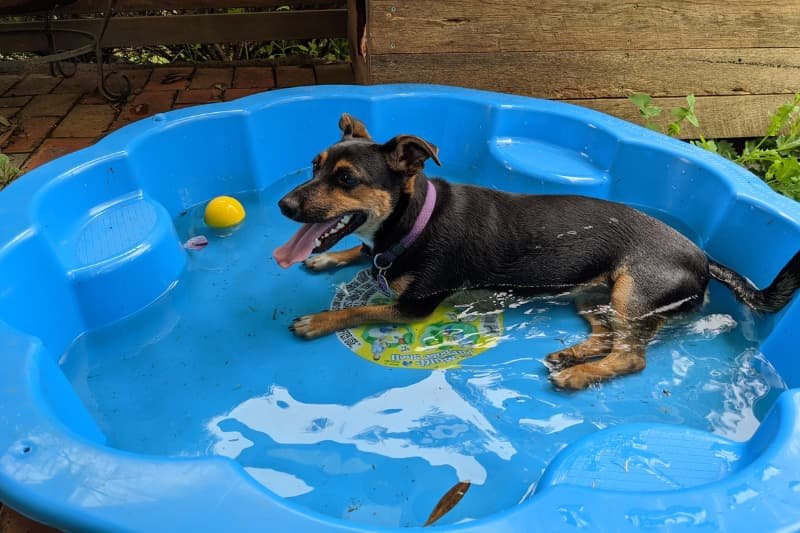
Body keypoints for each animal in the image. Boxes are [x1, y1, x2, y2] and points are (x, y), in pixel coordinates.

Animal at [276, 113, 800, 386]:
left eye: (346, 180)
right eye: (314, 166)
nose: (283, 204)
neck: (414, 221)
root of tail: (704, 258)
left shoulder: (414, 309)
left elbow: (359, 311)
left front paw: (317, 320)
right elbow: (362, 255)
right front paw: (330, 257)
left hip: (633, 291)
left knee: (632, 356)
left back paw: (579, 375)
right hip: (594, 295)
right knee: (608, 335)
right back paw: (572, 355)